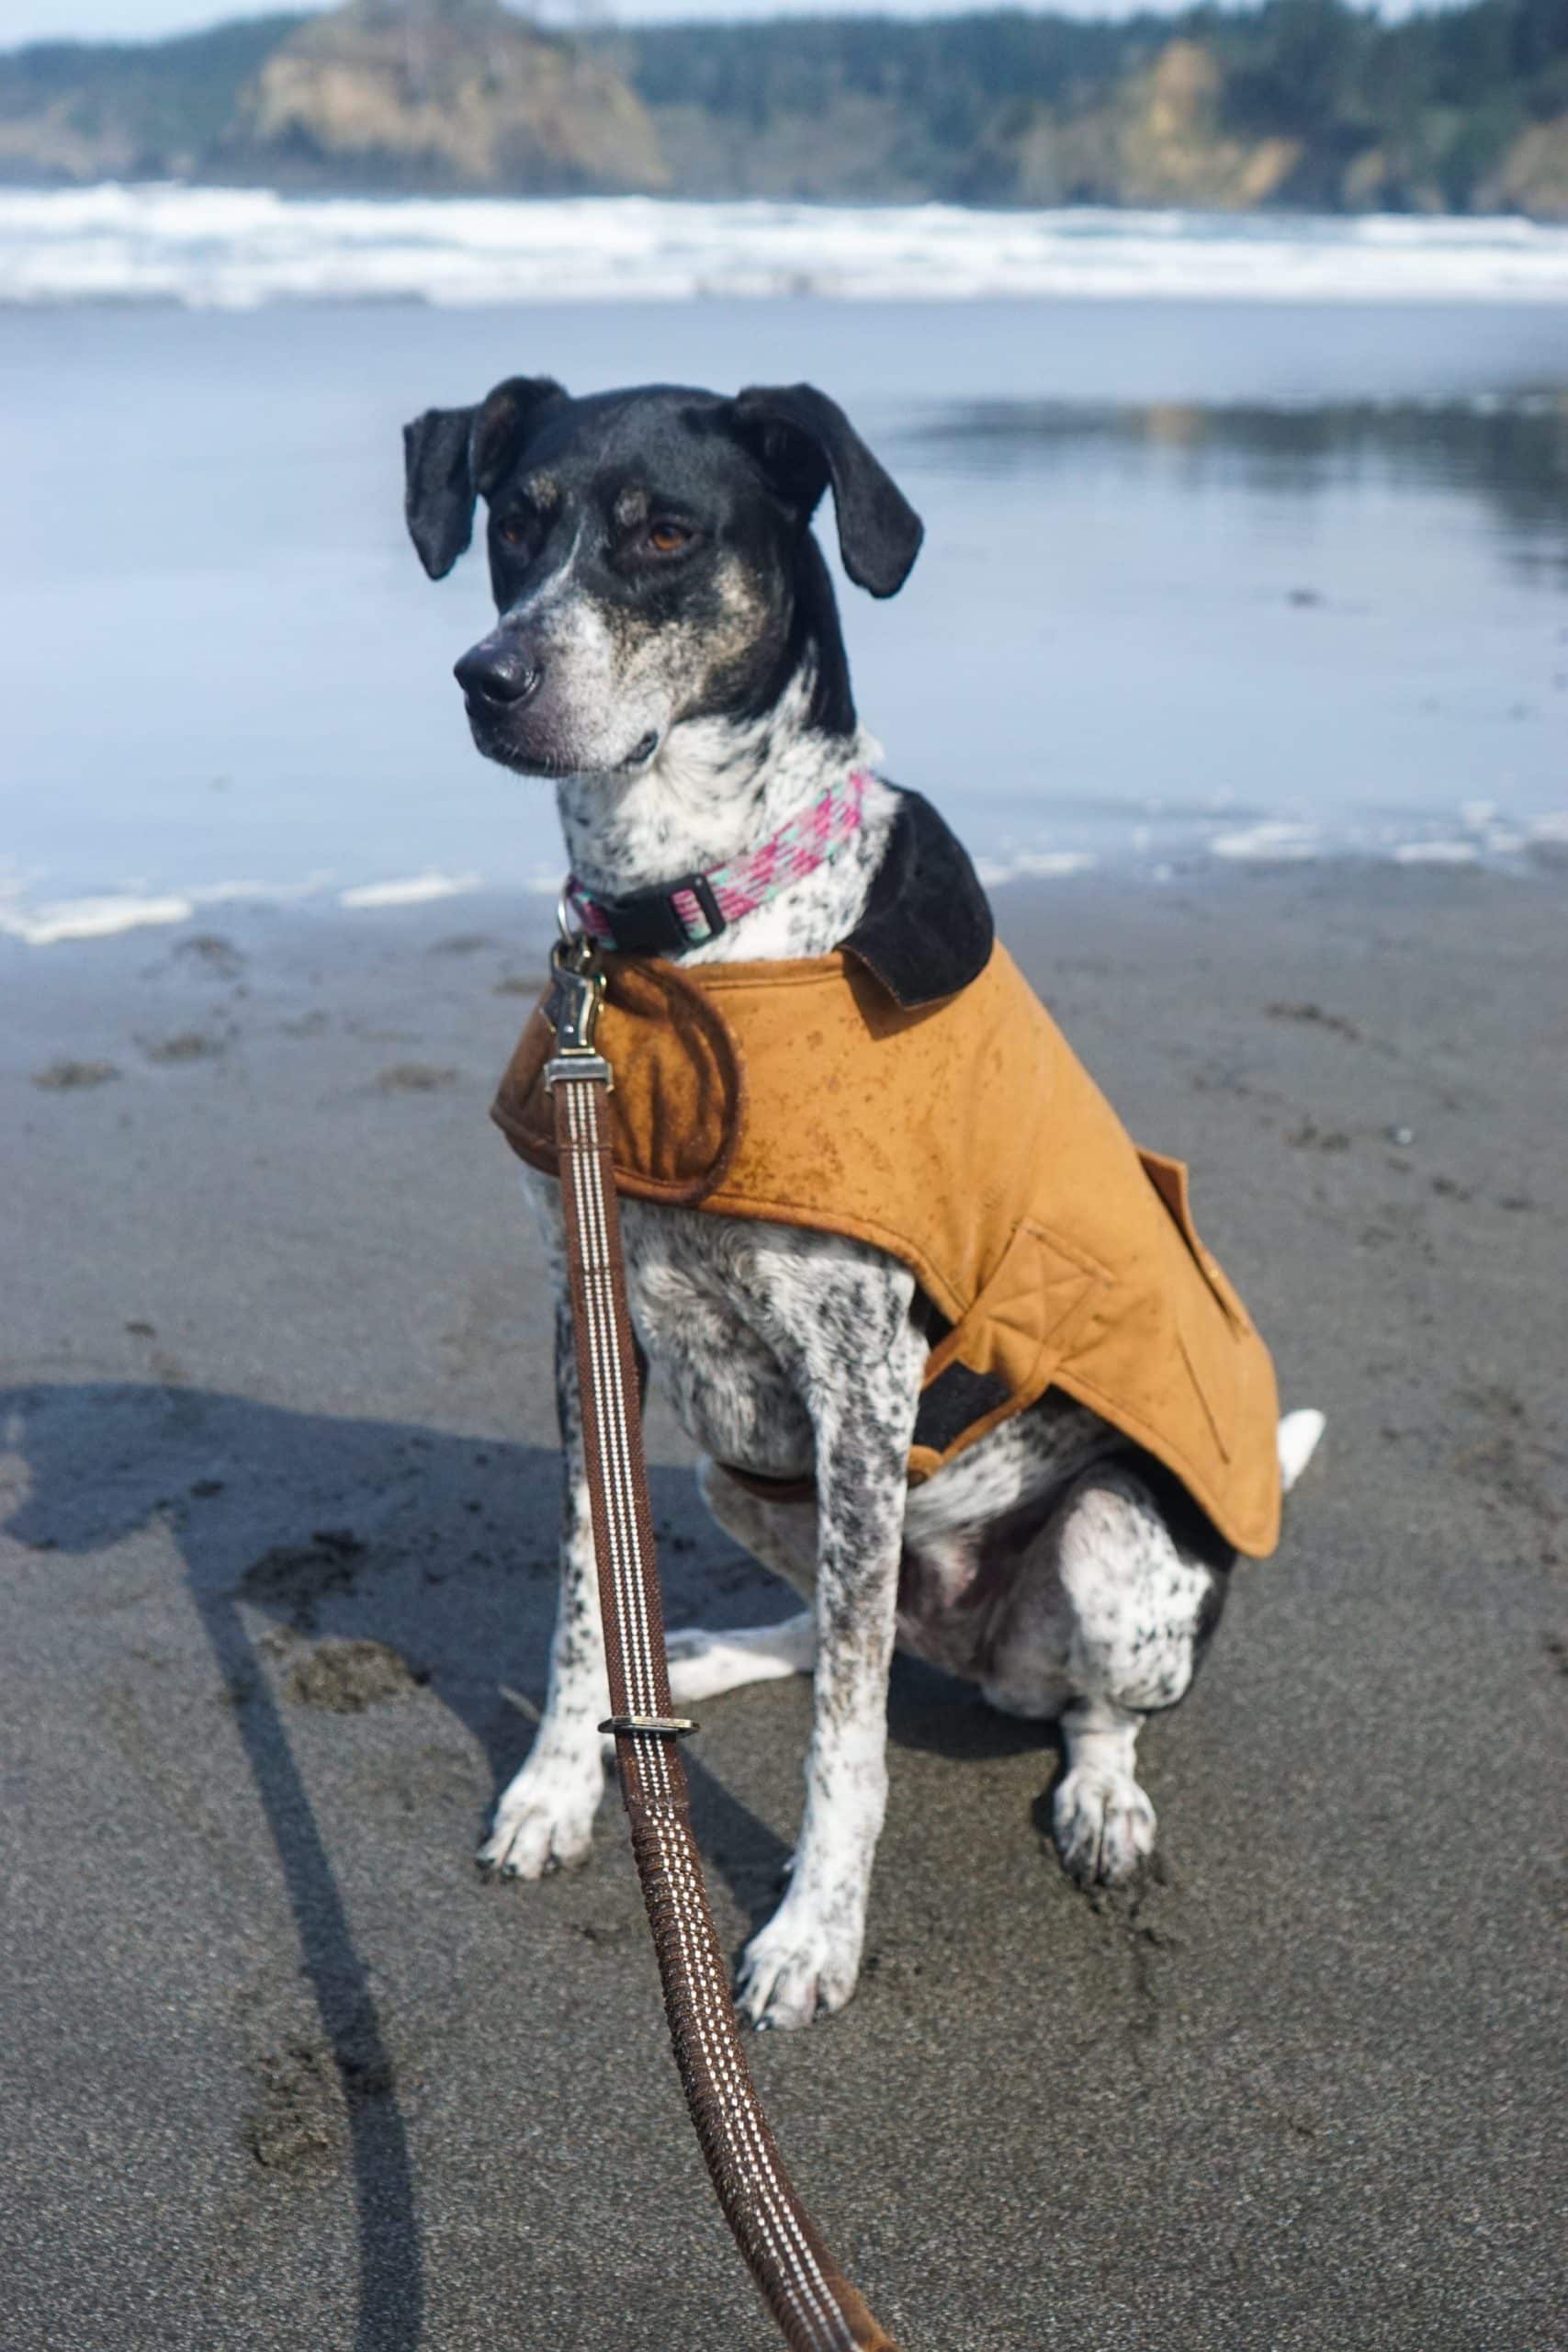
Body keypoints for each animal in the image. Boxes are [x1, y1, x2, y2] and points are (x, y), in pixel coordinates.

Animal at [404, 376, 1325, 2031]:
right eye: (516, 521)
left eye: (662, 532)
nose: (486, 679)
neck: (688, 934)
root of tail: (978, 1641)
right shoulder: (594, 1334)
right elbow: (586, 1602)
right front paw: (558, 1790)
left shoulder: (860, 1378)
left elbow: (849, 1736)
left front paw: (809, 1934)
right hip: (745, 1482)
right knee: (844, 1620)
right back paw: (703, 1661)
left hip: (1107, 1545)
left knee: (1064, 1704)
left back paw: (1101, 1801)